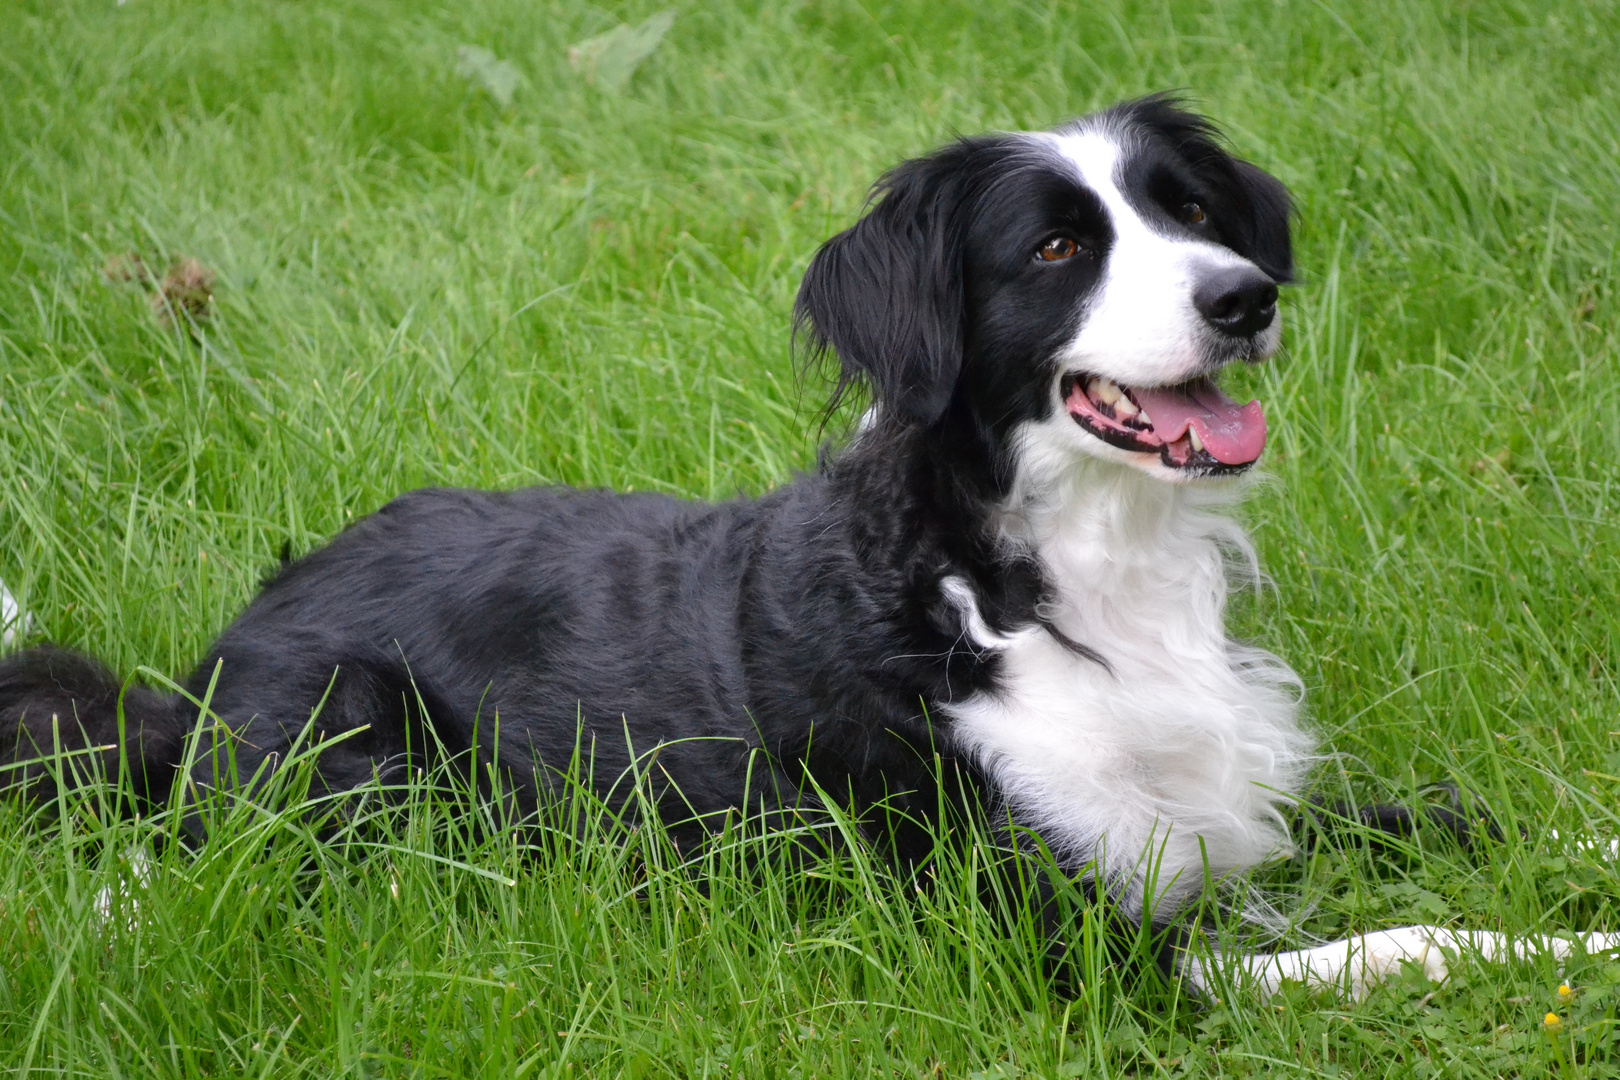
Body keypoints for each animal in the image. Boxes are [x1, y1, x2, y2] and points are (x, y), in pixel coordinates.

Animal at [6, 99, 1613, 997]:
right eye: (1056, 248)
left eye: (1193, 208)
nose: (1244, 296)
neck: (1051, 574)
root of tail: (197, 673)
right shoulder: (1048, 938)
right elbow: (1390, 945)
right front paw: (1572, 952)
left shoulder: (1228, 810)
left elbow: (1450, 820)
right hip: (361, 749)